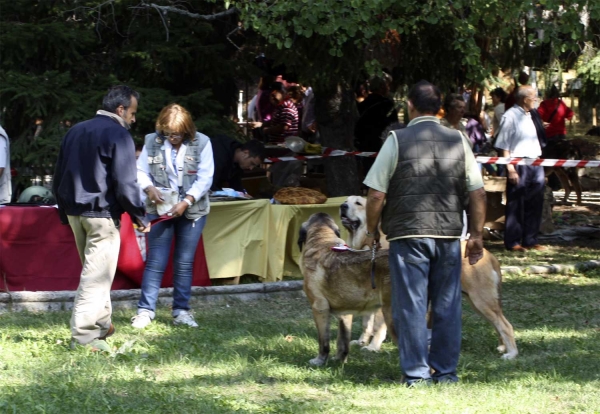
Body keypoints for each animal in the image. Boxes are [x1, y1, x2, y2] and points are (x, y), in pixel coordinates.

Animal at [340, 195, 516, 360]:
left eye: (358, 203)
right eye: (346, 201)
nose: (342, 206)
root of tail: (489, 255)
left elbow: (377, 326)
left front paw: (372, 347)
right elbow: (366, 323)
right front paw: (362, 341)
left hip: (481, 300)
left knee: (505, 325)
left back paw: (511, 354)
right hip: (477, 302)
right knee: (498, 323)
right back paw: (504, 347)